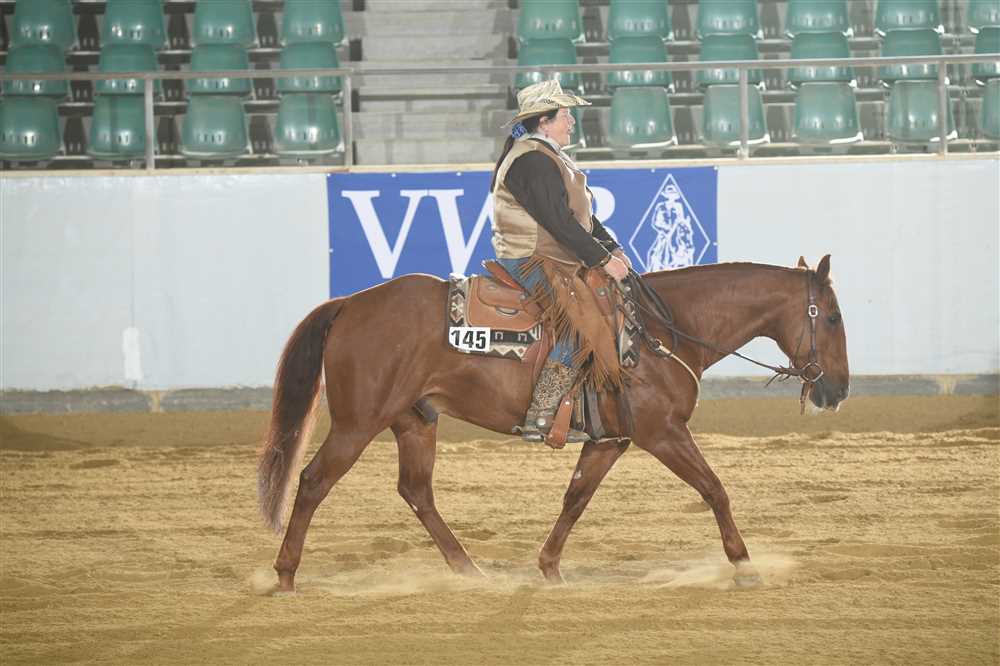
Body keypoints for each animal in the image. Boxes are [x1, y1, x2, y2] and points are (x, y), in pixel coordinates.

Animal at [257, 255, 849, 592]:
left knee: (416, 491)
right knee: (312, 482)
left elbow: (576, 498)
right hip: (357, 423)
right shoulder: (662, 433)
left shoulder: (612, 441)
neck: (663, 329)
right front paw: (744, 565)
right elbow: (715, 489)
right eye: (833, 317)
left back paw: (469, 571)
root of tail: (349, 303)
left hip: (415, 420)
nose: (838, 390)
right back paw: (284, 575)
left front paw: (548, 567)